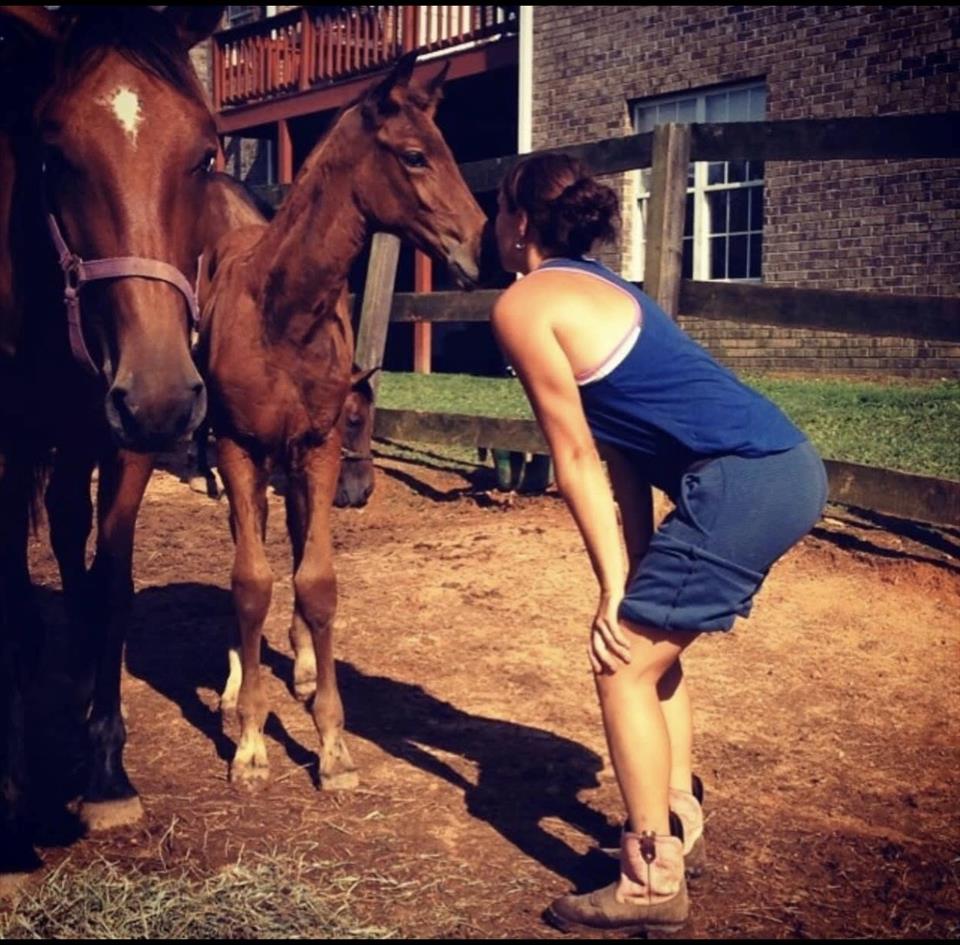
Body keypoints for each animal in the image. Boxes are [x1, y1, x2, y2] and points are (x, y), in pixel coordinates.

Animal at [0, 5, 223, 891]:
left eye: (207, 153)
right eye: (54, 153)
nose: (163, 395)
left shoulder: (121, 444)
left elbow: (116, 584)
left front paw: (105, 773)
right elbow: (16, 609)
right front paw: (14, 806)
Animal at [196, 50, 485, 791]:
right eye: (414, 155)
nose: (478, 245)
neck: (282, 313)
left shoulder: (319, 448)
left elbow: (318, 581)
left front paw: (332, 742)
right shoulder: (238, 447)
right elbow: (249, 583)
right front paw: (250, 742)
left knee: (297, 538)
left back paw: (298, 664)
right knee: (250, 547)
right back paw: (235, 685)